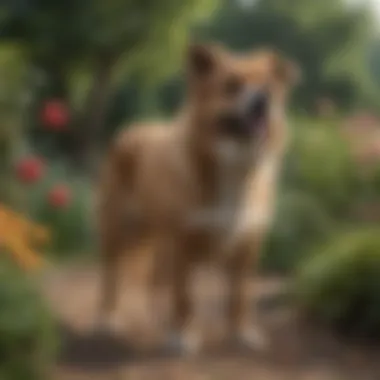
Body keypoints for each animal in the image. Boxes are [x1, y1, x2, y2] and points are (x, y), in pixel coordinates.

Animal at [96, 43, 302, 354]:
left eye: (269, 86)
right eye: (231, 85)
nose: (262, 100)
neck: (234, 165)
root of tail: (129, 130)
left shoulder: (248, 247)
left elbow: (239, 297)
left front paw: (242, 334)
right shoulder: (182, 244)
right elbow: (184, 298)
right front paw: (183, 336)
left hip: (154, 239)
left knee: (154, 283)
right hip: (120, 232)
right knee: (113, 276)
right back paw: (109, 319)